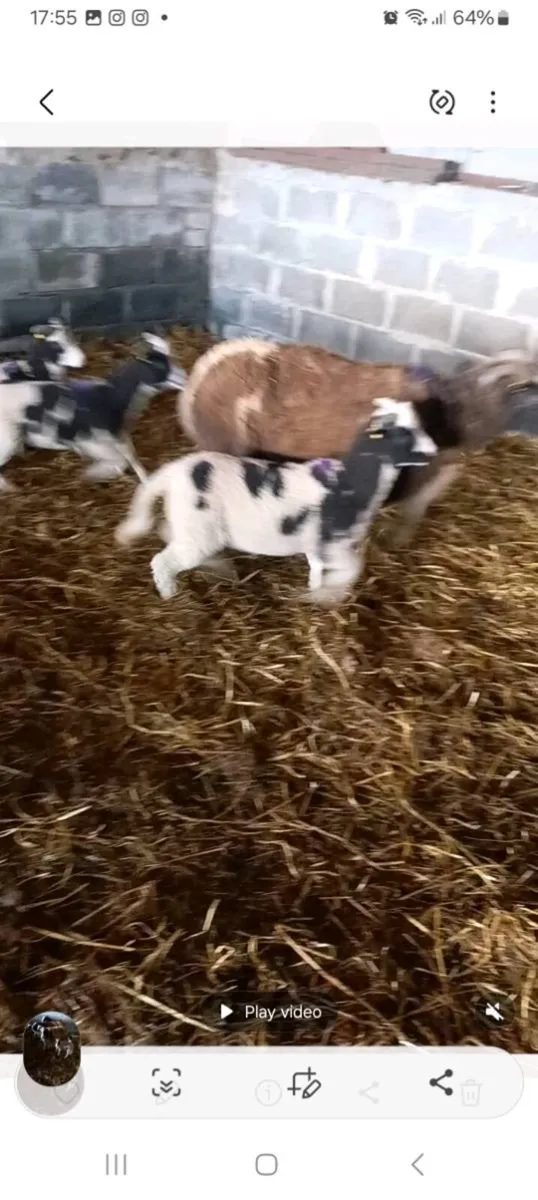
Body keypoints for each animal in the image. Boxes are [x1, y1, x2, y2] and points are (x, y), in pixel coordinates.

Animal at [0, 332, 184, 489]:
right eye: (159, 367)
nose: (184, 379)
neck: (112, 397)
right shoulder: (93, 444)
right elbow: (120, 462)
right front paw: (93, 474)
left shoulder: (119, 436)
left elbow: (133, 457)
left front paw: (145, 480)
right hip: (7, 438)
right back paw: (10, 488)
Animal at [115, 397, 438, 607]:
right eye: (402, 435)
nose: (433, 452)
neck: (353, 482)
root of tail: (175, 471)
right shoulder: (336, 544)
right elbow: (352, 570)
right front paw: (328, 596)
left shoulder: (317, 544)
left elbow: (316, 567)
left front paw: (314, 590)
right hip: (198, 530)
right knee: (163, 561)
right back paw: (170, 595)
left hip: (191, 524)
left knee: (168, 534)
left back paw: (219, 567)